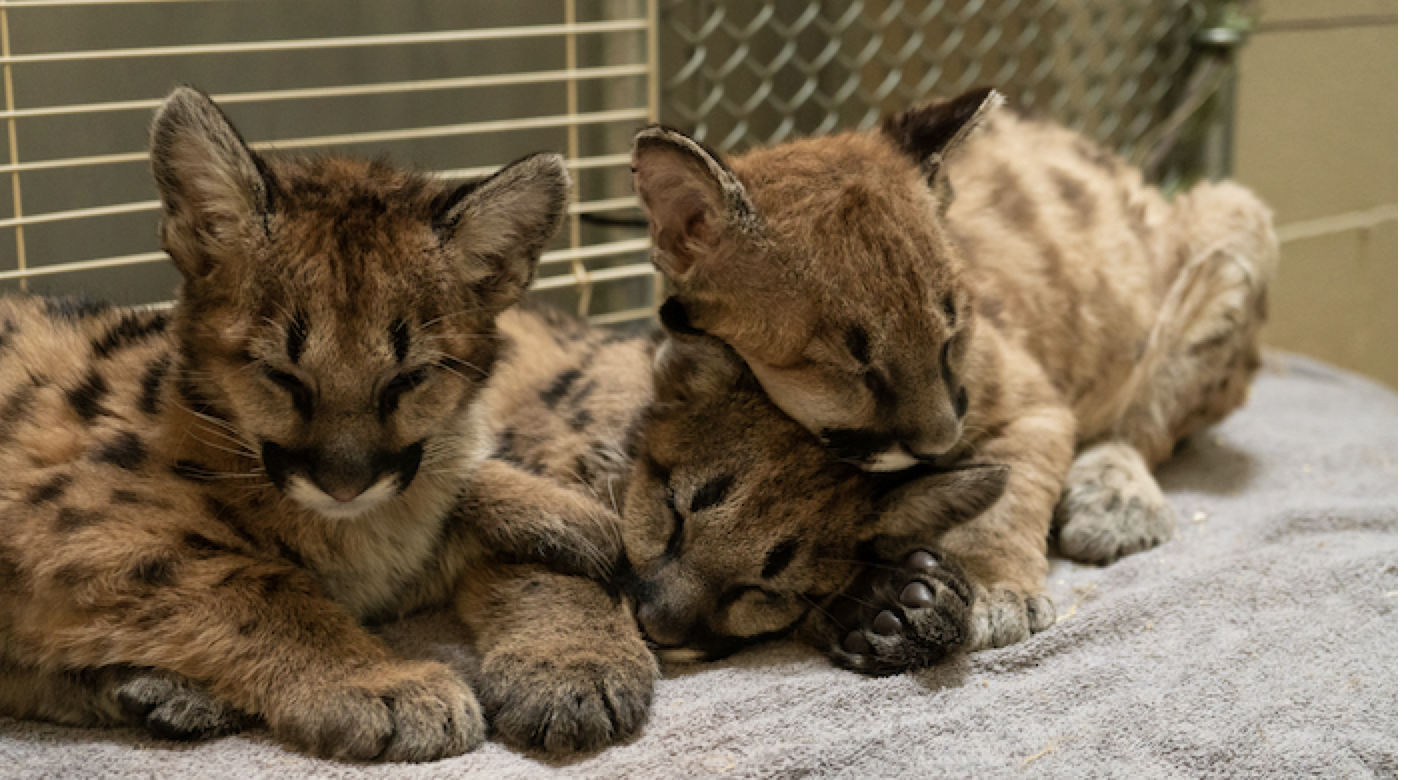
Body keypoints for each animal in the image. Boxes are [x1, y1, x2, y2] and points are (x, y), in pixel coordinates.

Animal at [0, 86, 654, 760]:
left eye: (408, 379)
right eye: (282, 375)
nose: (344, 486)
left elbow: (450, 486)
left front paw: (581, 520)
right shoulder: (72, 531)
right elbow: (259, 585)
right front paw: (381, 682)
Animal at [630, 86, 1277, 651]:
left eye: (952, 330)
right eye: (852, 366)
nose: (943, 442)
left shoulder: (1036, 406)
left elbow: (1010, 492)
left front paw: (992, 586)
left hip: (1236, 216)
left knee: (1144, 426)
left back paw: (1116, 499)